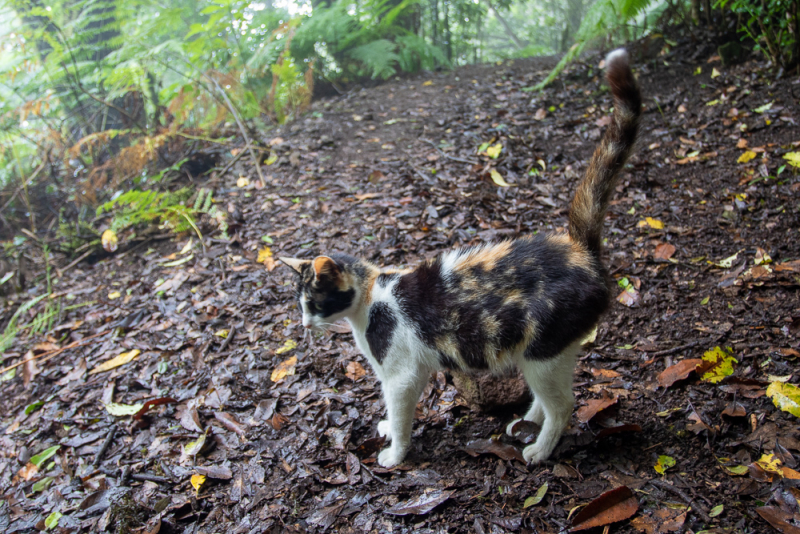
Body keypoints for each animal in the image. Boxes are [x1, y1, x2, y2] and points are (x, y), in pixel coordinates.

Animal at [282, 50, 644, 468]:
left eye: (313, 303)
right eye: (301, 305)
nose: (304, 324)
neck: (371, 295)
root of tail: (579, 251)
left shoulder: (402, 375)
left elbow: (400, 410)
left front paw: (396, 452)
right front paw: (388, 429)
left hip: (543, 351)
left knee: (564, 404)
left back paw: (539, 449)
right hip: (551, 352)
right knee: (551, 394)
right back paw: (526, 423)